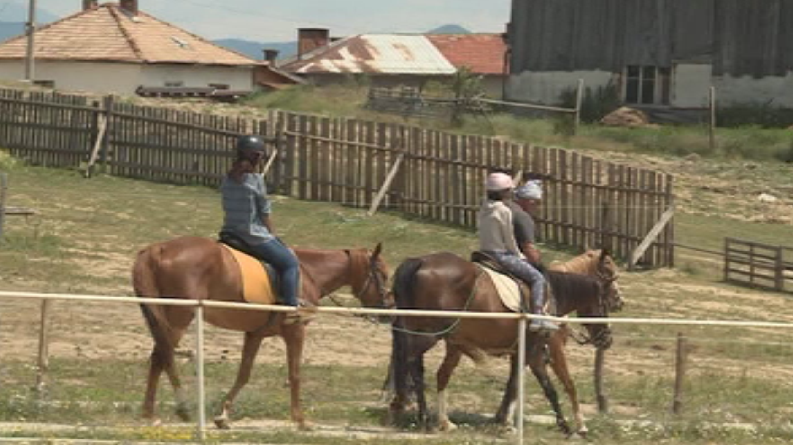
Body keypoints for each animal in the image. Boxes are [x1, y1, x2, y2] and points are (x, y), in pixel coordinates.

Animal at [133, 238, 390, 428]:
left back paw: (148, 412)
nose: (389, 309)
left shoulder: (255, 334)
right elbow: (295, 374)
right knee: (164, 356)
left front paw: (223, 416)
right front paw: (300, 419)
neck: (308, 273)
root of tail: (159, 248)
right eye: (384, 274)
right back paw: (182, 407)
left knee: (158, 357)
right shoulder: (295, 332)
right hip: (179, 317)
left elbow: (243, 374)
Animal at [386, 251, 620, 436]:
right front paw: (576, 426)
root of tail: (419, 262)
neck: (552, 294)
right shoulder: (543, 350)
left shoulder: (526, 353)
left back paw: (427, 416)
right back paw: (423, 416)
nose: (607, 338)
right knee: (411, 362)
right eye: (603, 303)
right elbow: (559, 385)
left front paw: (506, 420)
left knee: (425, 368)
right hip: (429, 335)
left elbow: (527, 386)